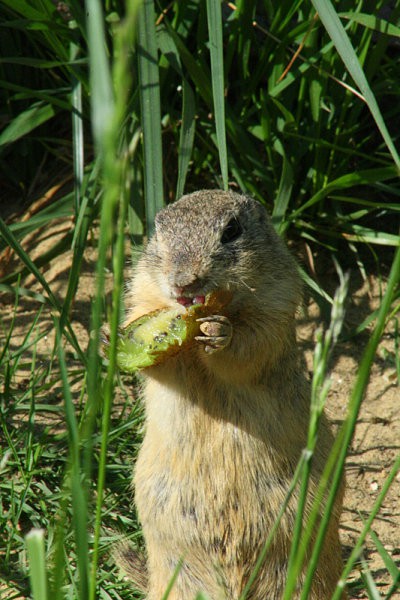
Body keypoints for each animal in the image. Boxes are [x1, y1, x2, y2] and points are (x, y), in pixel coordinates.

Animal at [122, 190, 344, 596]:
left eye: (231, 231)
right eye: (159, 231)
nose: (183, 282)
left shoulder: (276, 305)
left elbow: (249, 347)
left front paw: (219, 333)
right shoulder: (145, 295)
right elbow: (158, 354)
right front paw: (108, 338)